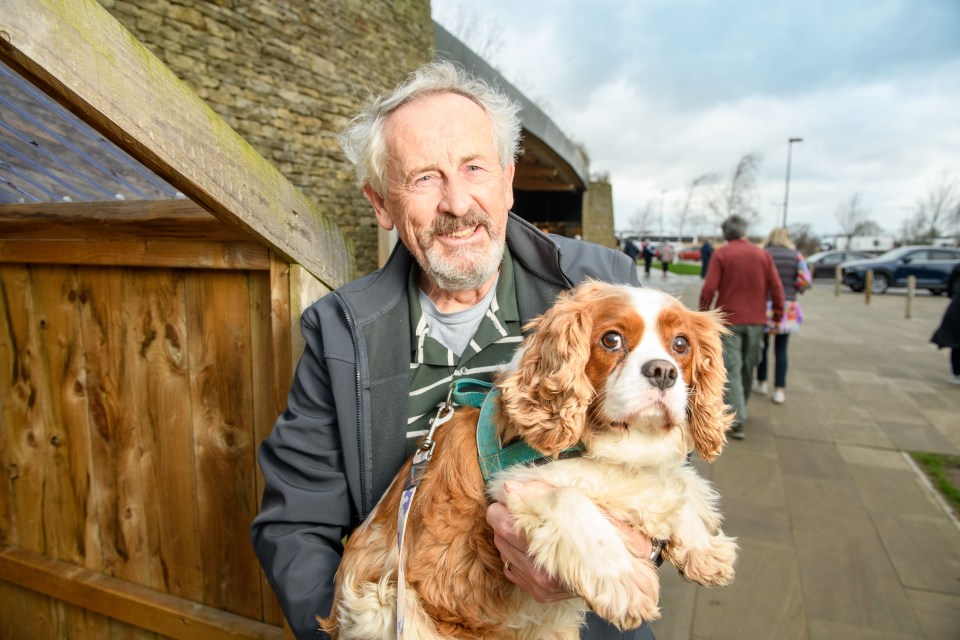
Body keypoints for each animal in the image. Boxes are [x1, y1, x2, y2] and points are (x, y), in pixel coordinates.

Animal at [320, 282, 736, 640]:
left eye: (681, 344)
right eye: (611, 339)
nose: (663, 371)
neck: (610, 438)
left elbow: (674, 481)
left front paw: (704, 548)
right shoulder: (510, 486)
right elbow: (569, 498)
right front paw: (625, 581)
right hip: (383, 606)